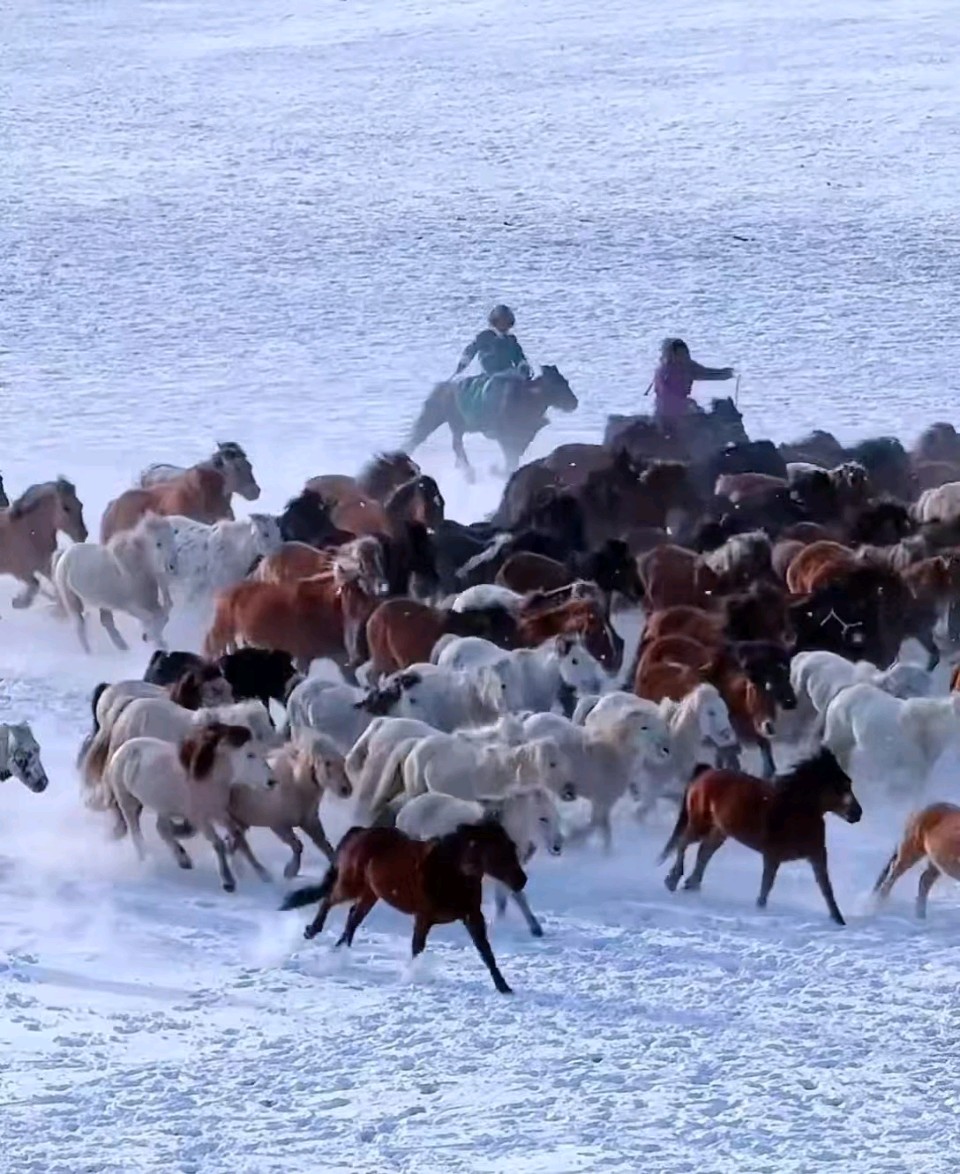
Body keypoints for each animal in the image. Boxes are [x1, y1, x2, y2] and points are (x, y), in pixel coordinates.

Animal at [0, 478, 88, 607]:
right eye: (66, 507)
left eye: (80, 505)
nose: (83, 534)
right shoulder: (20, 572)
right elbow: (36, 585)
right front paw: (20, 601)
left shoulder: (44, 566)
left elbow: (55, 586)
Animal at [53, 513, 176, 652]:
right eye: (158, 544)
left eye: (172, 538)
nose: (172, 566)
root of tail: (64, 555)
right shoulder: (132, 607)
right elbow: (153, 618)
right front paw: (154, 640)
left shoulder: (148, 603)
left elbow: (162, 616)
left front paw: (157, 641)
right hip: (71, 599)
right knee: (79, 626)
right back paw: (89, 653)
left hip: (102, 603)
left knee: (107, 623)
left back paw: (123, 647)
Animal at [280, 821, 527, 993]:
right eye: (499, 852)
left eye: (513, 847)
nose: (521, 881)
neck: (450, 871)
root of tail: (359, 832)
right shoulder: (424, 917)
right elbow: (417, 948)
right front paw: (413, 978)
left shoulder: (472, 916)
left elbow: (486, 952)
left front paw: (504, 987)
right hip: (350, 885)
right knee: (329, 900)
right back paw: (312, 931)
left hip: (371, 893)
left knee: (353, 917)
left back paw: (338, 951)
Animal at [407, 365, 578, 479]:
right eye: (555, 385)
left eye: (566, 381)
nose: (574, 403)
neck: (529, 398)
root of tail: (441, 387)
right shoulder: (505, 437)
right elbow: (510, 457)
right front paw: (498, 470)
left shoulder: (523, 437)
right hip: (444, 420)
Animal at [659, 748, 862, 923]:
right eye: (840, 787)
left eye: (849, 784)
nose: (857, 813)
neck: (794, 811)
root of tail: (705, 773)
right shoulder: (772, 857)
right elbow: (766, 887)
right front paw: (760, 910)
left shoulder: (817, 856)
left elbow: (827, 889)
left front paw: (839, 920)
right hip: (700, 824)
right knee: (683, 843)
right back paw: (673, 880)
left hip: (720, 831)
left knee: (704, 852)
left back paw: (691, 884)